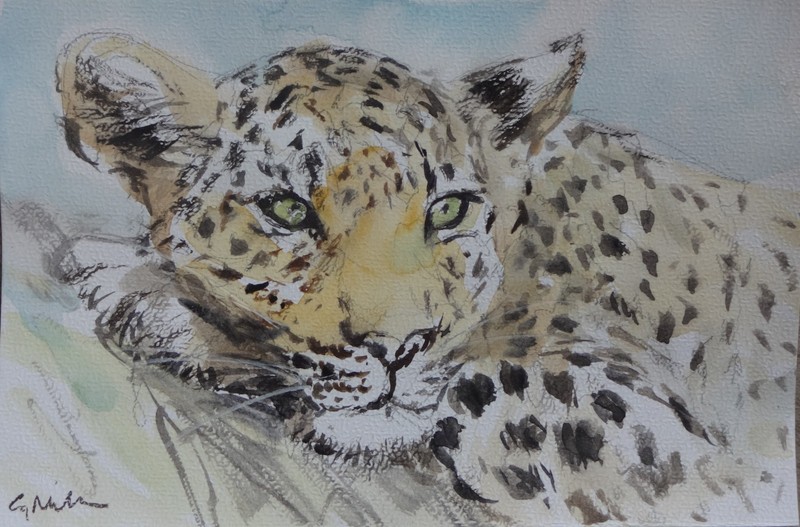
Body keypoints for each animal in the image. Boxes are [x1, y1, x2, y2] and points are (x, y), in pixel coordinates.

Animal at [47, 30, 799, 525]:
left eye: (449, 209)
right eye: (287, 209)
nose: (397, 348)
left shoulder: (707, 459)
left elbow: (501, 389)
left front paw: (136, 284)